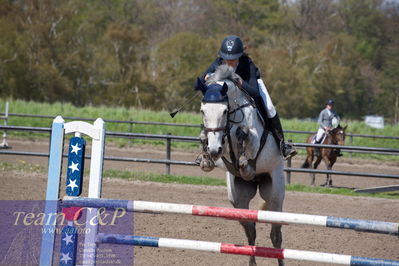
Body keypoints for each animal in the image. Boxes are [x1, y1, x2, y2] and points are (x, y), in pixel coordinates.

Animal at [196, 65, 284, 266]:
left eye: (224, 111)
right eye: (203, 111)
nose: (214, 150)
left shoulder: (254, 137)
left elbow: (244, 133)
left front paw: (244, 159)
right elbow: (205, 136)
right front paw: (206, 158)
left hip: (274, 192)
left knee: (276, 235)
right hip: (238, 198)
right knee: (251, 230)